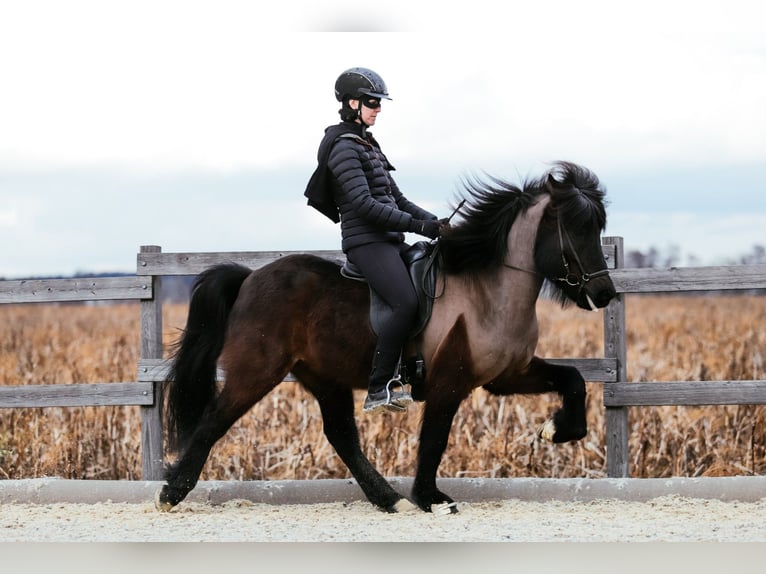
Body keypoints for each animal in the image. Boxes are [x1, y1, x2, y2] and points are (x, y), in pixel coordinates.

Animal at [154, 160, 616, 516]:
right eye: (575, 228)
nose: (604, 294)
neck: (488, 293)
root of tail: (250, 278)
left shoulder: (507, 377)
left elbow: (574, 379)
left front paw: (556, 431)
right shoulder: (450, 382)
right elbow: (434, 439)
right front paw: (432, 498)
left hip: (325, 378)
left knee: (341, 434)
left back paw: (389, 499)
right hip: (257, 372)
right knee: (215, 420)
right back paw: (171, 493)